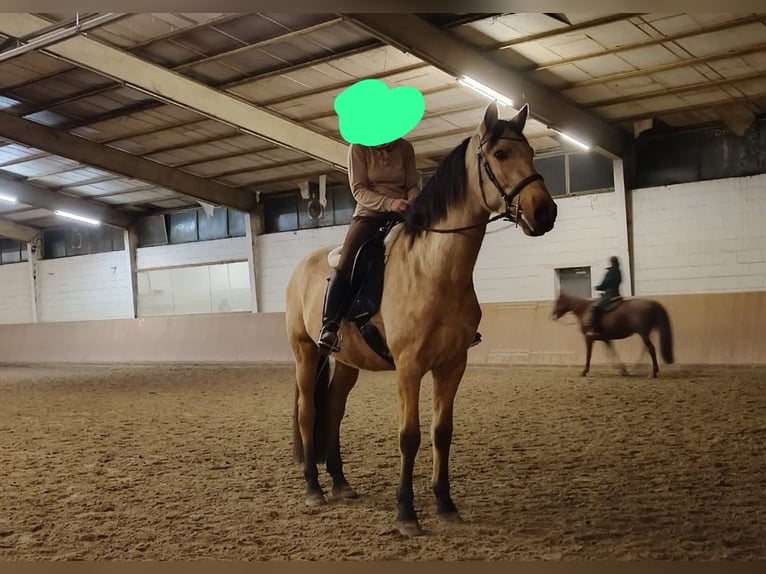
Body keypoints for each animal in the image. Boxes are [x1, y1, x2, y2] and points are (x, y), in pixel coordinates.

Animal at [285, 101, 558, 537]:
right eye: (500, 154)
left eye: (531, 152)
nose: (545, 212)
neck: (434, 269)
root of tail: (301, 268)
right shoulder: (410, 367)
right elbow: (409, 437)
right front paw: (406, 514)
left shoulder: (452, 364)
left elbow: (441, 433)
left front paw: (445, 504)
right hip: (306, 353)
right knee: (309, 412)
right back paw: (314, 488)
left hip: (346, 362)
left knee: (334, 410)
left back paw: (341, 484)